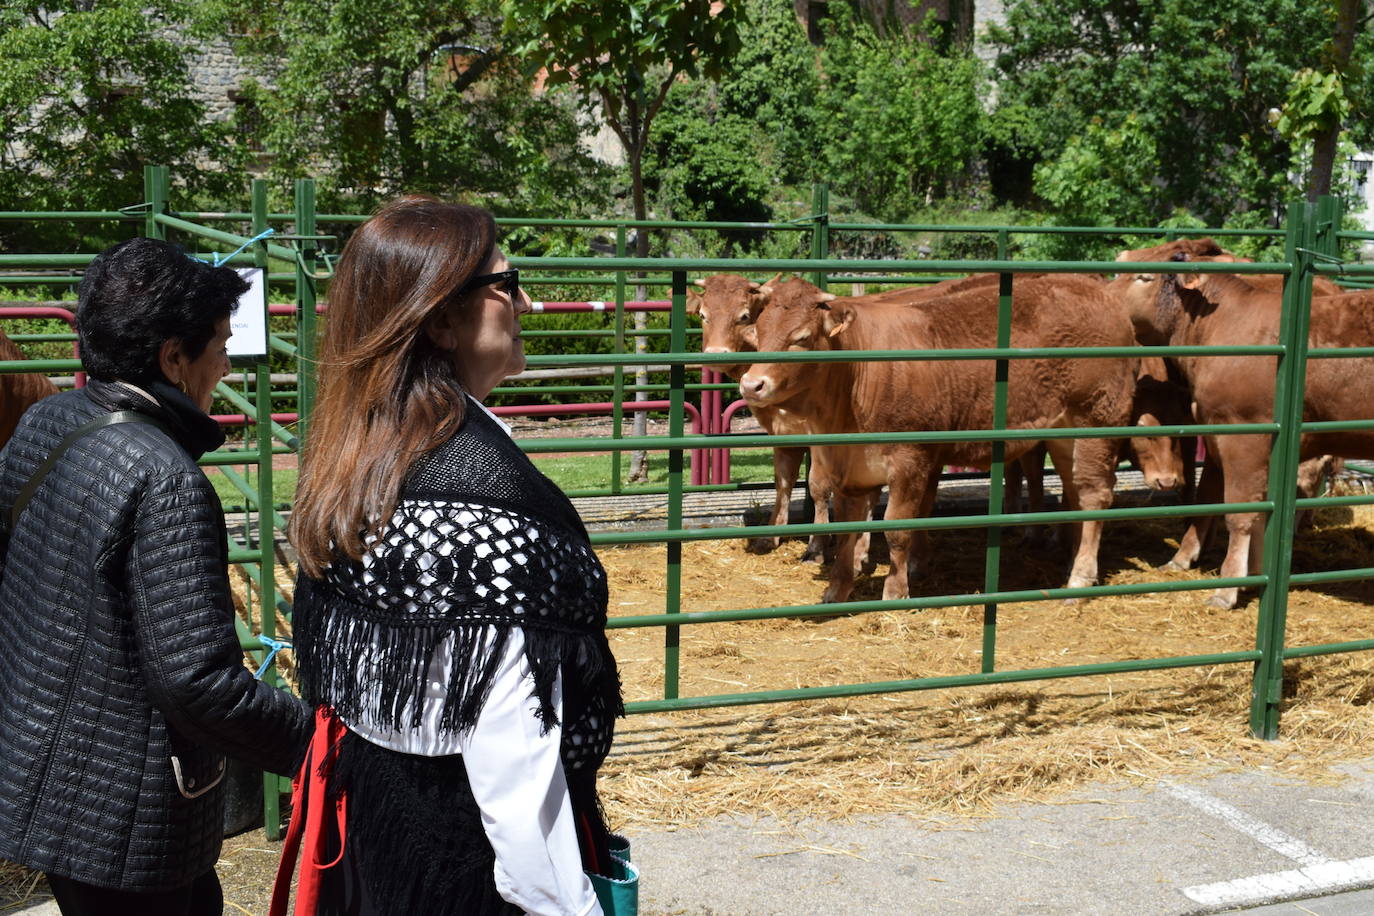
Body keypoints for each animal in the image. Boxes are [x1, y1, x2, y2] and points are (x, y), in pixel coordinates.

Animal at [741, 276, 1137, 604]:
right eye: (759, 331)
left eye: (801, 338)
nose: (751, 384)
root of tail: (1102, 294)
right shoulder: (851, 468)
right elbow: (848, 530)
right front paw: (837, 589)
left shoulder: (910, 459)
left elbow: (897, 529)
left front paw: (895, 591)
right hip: (1064, 437)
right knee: (1075, 493)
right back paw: (1072, 565)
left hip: (1096, 420)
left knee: (1095, 496)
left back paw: (1080, 579)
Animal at [1110, 236, 1374, 609]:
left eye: (1144, 277)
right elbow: (1254, 509)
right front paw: (1255, 575)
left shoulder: (1244, 438)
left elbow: (1241, 514)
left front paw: (1227, 589)